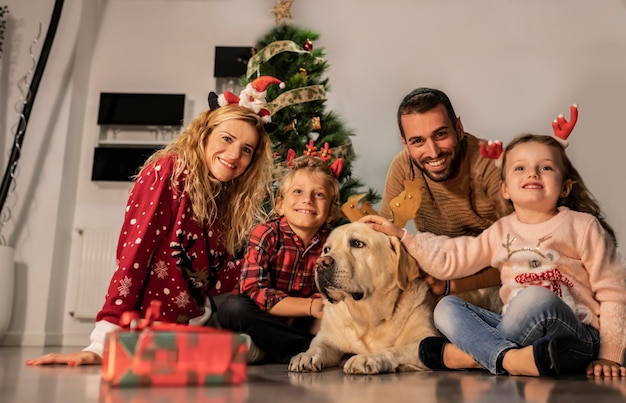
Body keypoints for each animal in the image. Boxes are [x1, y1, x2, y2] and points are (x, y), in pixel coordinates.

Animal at [286, 221, 434, 376]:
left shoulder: (425, 339)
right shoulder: (326, 337)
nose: (320, 263)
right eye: (326, 249)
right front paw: (306, 355)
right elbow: (317, 346)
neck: (368, 319)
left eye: (357, 243)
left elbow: (394, 350)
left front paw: (366, 357)